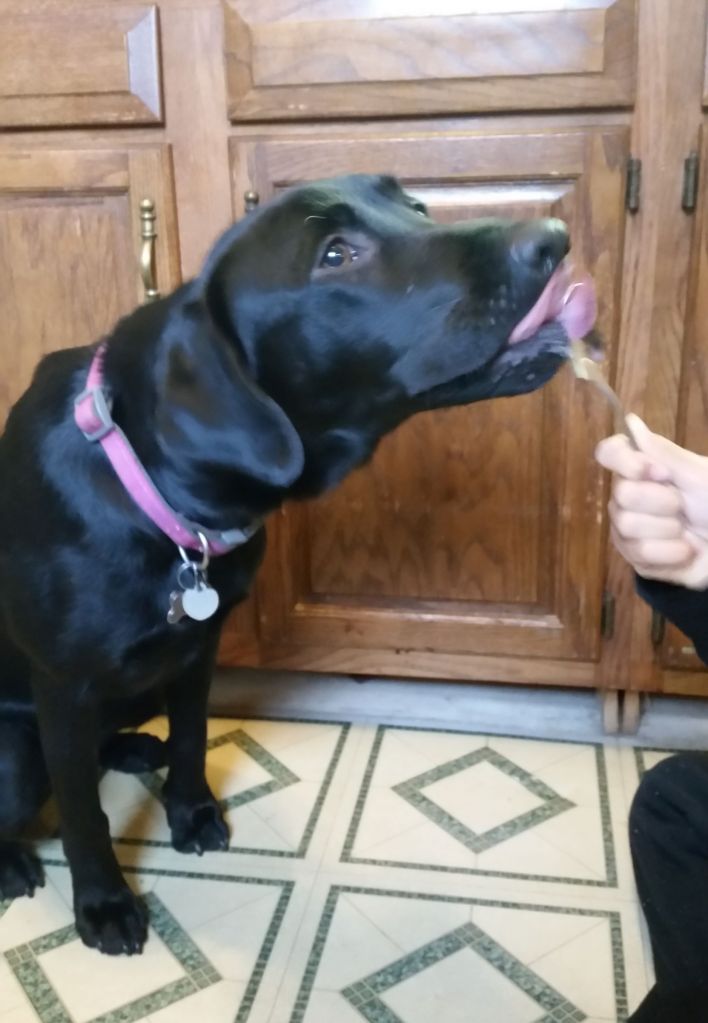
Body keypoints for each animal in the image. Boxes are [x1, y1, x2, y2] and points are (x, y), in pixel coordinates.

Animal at [0, 173, 595, 954]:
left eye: (415, 206)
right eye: (336, 254)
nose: (555, 238)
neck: (154, 495)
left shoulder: (199, 648)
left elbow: (191, 739)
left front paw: (191, 813)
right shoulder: (63, 686)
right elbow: (80, 812)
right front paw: (102, 902)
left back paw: (130, 747)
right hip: (16, 750)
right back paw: (12, 860)